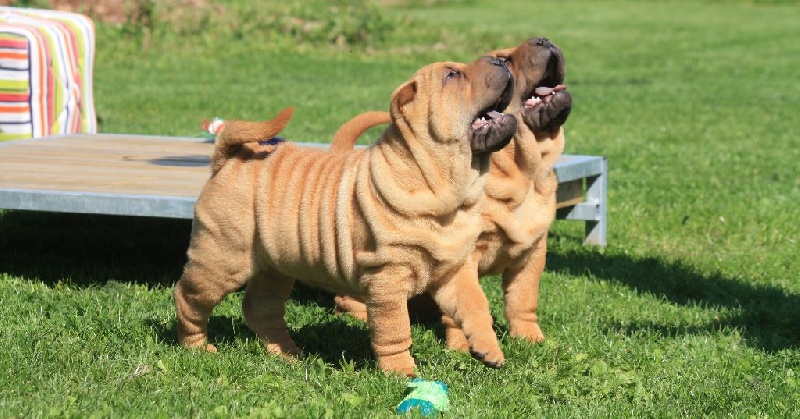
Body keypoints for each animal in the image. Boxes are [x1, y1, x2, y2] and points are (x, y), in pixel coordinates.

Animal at [172, 56, 516, 378]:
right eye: (452, 75)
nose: (500, 60)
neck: (449, 193)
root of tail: (228, 159)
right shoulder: (388, 278)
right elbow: (395, 330)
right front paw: (401, 373)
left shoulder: (455, 270)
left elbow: (476, 306)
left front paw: (490, 350)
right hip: (223, 259)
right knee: (188, 297)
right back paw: (198, 347)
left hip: (275, 267)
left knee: (260, 308)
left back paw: (289, 354)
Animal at [332, 37, 576, 352]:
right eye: (506, 60)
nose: (544, 40)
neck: (521, 174)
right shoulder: (464, 255)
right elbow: (467, 303)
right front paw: (461, 347)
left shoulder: (533, 251)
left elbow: (523, 300)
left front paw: (531, 339)